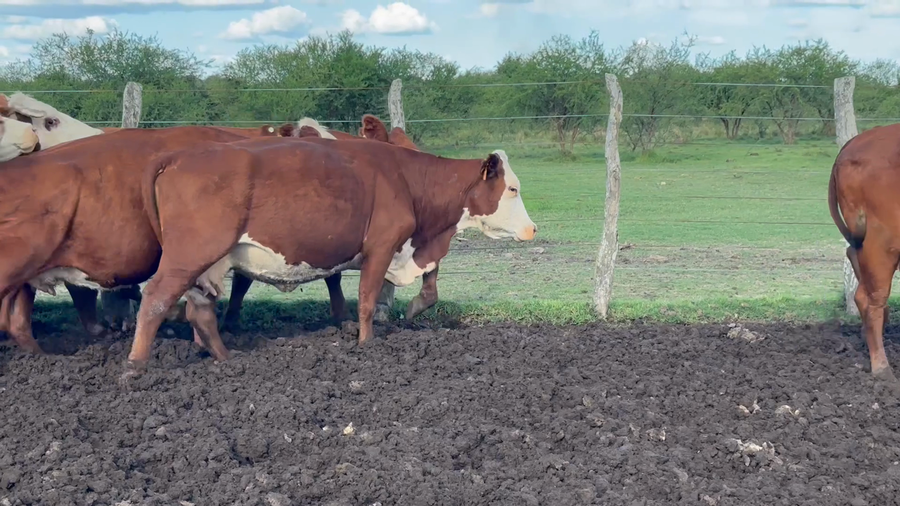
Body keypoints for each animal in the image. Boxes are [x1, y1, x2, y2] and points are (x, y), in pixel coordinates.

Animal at [122, 134, 536, 376]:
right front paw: (367, 343)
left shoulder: (412, 245)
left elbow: (430, 284)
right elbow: (367, 299)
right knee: (156, 298)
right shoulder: (382, 245)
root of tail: (176, 157)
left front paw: (415, 307)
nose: (532, 228)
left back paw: (225, 359)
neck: (406, 179)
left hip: (205, 262)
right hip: (191, 255)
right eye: (513, 188)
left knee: (200, 311)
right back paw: (136, 366)